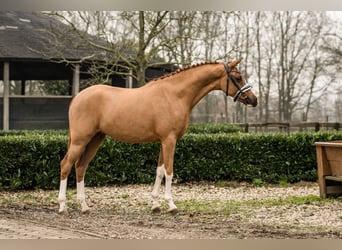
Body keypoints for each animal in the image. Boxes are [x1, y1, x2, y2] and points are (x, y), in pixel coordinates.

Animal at [58, 58, 256, 215]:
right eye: (238, 78)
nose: (254, 100)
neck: (175, 95)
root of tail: (77, 98)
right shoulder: (169, 140)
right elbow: (169, 171)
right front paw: (172, 205)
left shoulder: (163, 141)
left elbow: (159, 171)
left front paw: (155, 205)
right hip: (80, 140)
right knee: (66, 165)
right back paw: (62, 207)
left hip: (95, 139)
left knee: (81, 166)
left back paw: (84, 207)